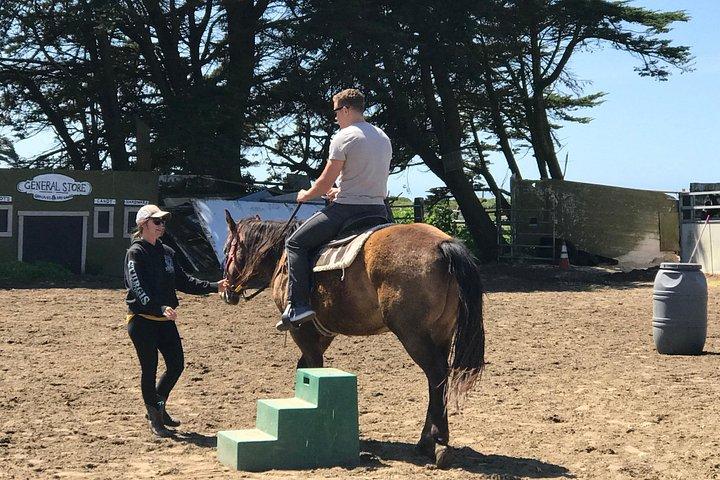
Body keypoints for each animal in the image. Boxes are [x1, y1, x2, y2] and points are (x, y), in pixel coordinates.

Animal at [220, 210, 485, 468]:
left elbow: (313, 368)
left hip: (414, 335)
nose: (225, 291)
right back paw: (426, 442)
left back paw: (436, 443)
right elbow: (304, 367)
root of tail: (442, 244)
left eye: (225, 250)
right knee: (438, 380)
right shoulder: (323, 332)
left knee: (436, 374)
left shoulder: (301, 330)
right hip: (441, 333)